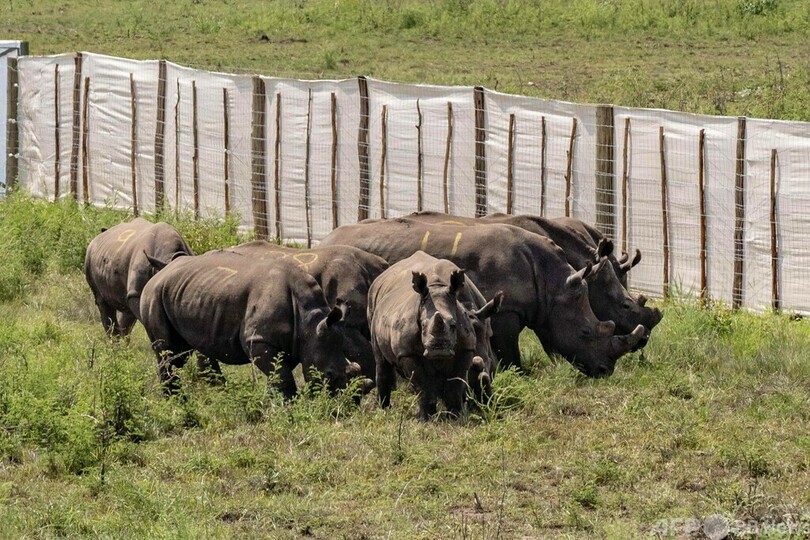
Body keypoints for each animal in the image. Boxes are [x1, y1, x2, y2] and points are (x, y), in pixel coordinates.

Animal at [139, 249, 361, 398]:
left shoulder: (291, 343)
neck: (310, 323)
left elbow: (278, 375)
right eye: (329, 375)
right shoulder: (259, 340)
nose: (349, 405)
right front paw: (287, 407)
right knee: (169, 352)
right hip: (154, 294)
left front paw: (271, 403)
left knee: (185, 352)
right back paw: (177, 401)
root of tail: (160, 272)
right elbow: (283, 378)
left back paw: (219, 393)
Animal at [319, 219, 645, 376]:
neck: (552, 284)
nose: (604, 371)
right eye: (586, 333)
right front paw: (519, 374)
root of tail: (327, 238)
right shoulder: (506, 311)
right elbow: (509, 351)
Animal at [368, 251, 501, 419]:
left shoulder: (467, 347)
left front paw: (455, 416)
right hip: (373, 306)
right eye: (423, 326)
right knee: (382, 362)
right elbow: (422, 384)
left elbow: (454, 382)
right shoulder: (408, 352)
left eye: (454, 326)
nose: (476, 403)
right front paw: (426, 418)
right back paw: (384, 409)